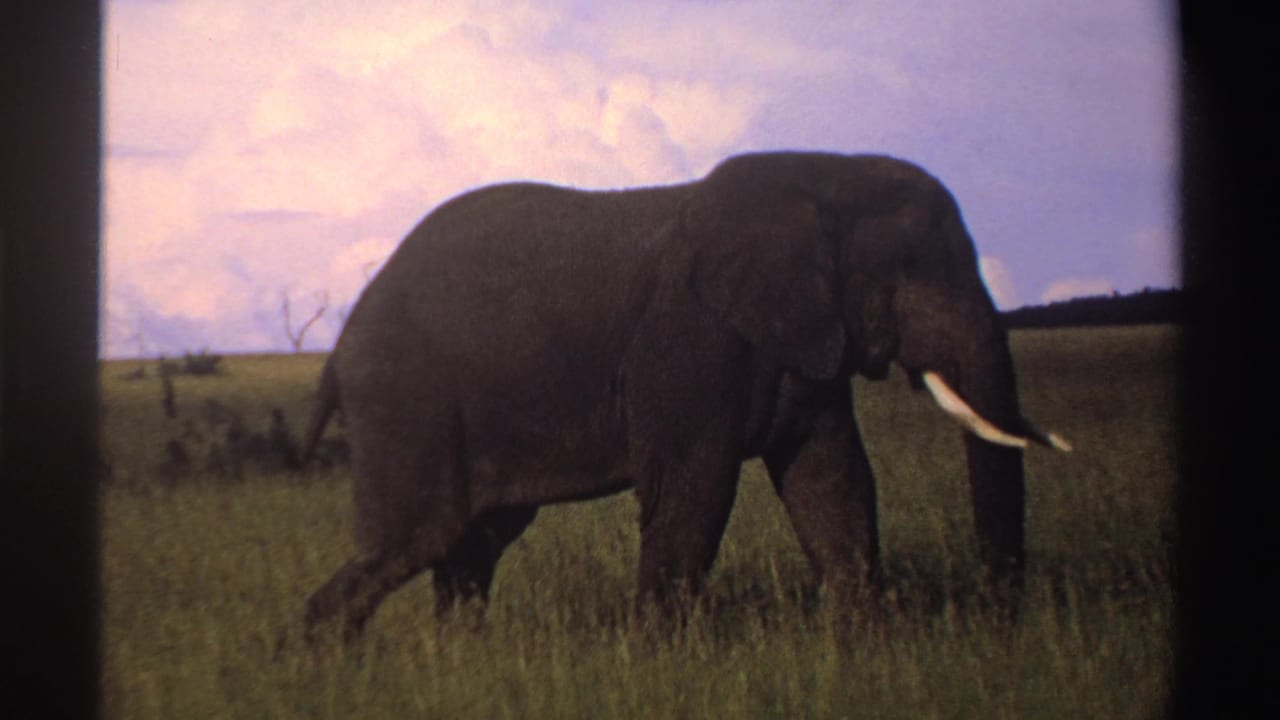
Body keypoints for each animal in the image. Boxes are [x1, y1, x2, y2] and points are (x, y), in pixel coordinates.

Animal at [298, 150, 1068, 639]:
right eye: (908, 269)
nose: (1001, 625)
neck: (819, 174)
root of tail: (336, 351)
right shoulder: (690, 336)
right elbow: (693, 486)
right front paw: (659, 659)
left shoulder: (806, 341)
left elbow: (833, 481)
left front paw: (866, 647)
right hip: (407, 399)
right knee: (421, 535)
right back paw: (323, 663)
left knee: (472, 544)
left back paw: (458, 662)